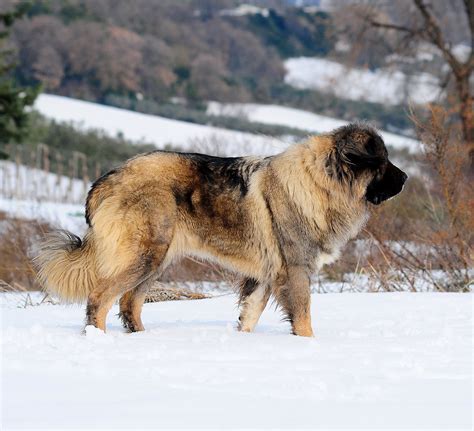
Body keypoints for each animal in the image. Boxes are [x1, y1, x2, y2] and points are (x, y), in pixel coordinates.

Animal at [36, 124, 408, 338]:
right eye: (382, 162)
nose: (406, 178)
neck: (319, 182)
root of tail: (105, 179)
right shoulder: (296, 271)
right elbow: (303, 319)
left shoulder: (265, 276)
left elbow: (250, 314)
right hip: (144, 255)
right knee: (100, 297)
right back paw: (98, 339)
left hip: (157, 260)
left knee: (129, 303)